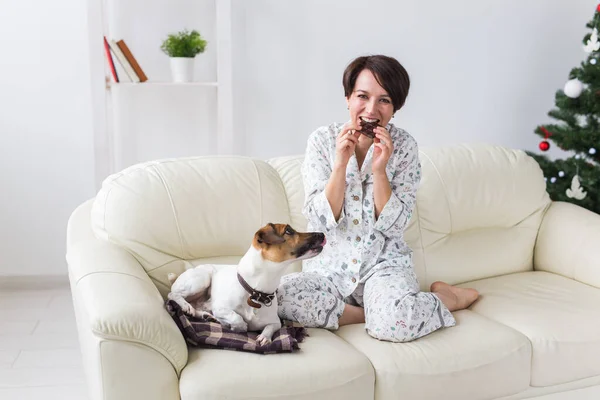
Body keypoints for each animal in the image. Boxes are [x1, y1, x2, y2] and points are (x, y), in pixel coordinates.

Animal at [166, 223, 326, 346]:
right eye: (288, 230)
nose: (322, 234)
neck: (257, 292)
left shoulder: (276, 322)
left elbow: (270, 327)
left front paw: (265, 337)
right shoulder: (220, 308)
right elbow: (237, 319)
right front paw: (239, 326)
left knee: (197, 306)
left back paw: (206, 316)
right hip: (202, 279)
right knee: (173, 294)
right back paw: (187, 306)